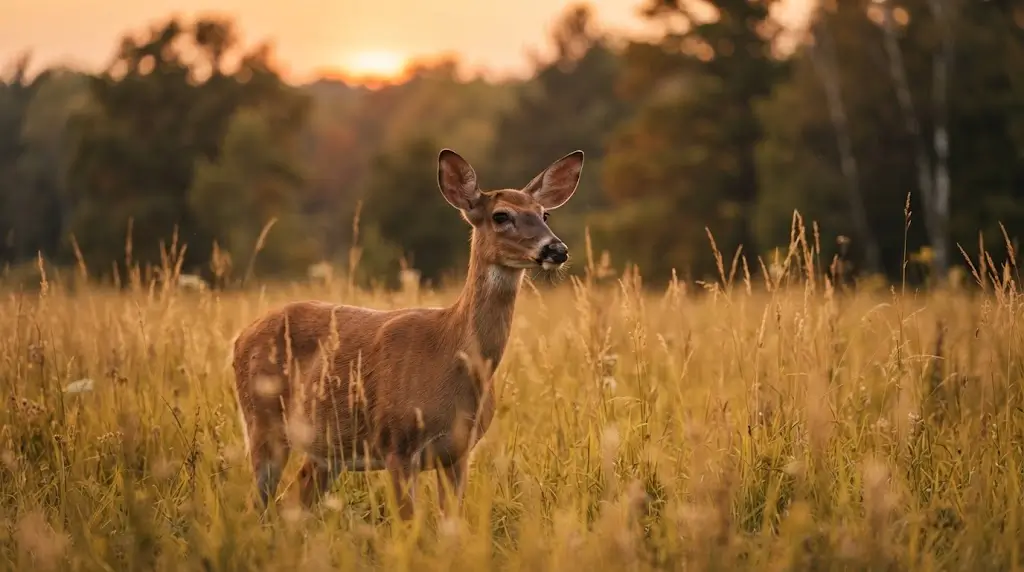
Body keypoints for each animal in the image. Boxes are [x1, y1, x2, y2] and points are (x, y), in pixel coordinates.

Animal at [229, 148, 584, 520]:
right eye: (501, 216)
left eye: (544, 213)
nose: (556, 250)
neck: (450, 353)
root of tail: (239, 338)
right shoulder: (396, 442)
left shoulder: (458, 453)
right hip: (262, 421)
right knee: (257, 503)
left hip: (325, 449)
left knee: (294, 501)